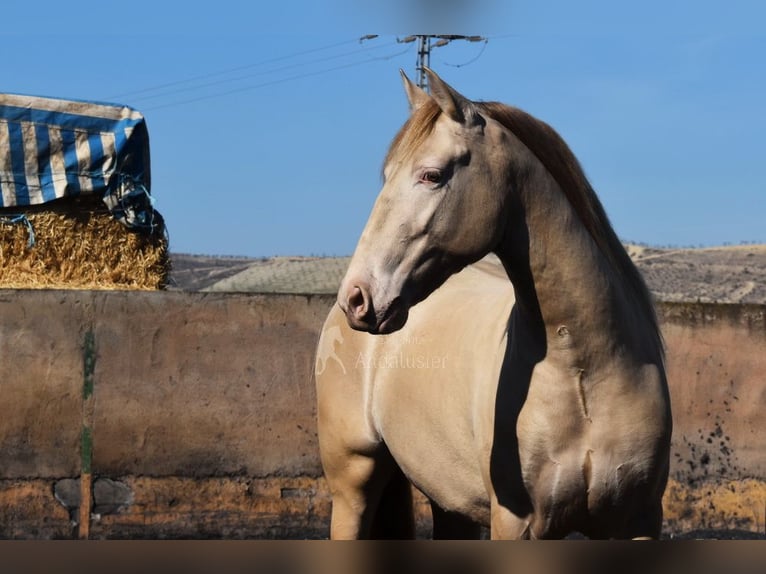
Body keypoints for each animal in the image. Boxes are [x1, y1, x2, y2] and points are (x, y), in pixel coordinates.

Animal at [314, 70, 672, 544]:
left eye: (431, 175)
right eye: (387, 175)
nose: (357, 297)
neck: (587, 372)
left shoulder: (638, 523)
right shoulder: (518, 525)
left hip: (450, 502)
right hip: (354, 483)